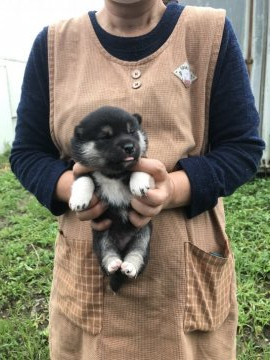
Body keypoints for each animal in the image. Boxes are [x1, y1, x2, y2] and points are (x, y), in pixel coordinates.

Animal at [69, 105, 154, 292]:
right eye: (105, 137)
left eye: (131, 131)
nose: (129, 147)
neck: (113, 173)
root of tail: (121, 249)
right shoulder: (82, 170)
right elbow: (83, 179)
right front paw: (78, 199)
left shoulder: (142, 162)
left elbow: (139, 167)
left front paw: (139, 184)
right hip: (101, 240)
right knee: (107, 257)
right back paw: (113, 264)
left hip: (143, 238)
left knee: (137, 255)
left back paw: (129, 266)